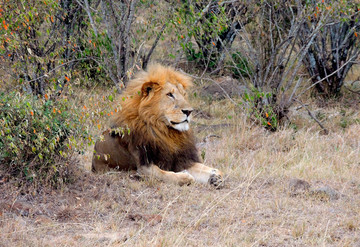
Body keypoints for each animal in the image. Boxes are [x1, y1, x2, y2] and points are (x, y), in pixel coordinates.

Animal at [91, 63, 224, 187]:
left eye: (184, 94)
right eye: (170, 94)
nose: (189, 111)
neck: (166, 132)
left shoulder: (182, 160)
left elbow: (209, 169)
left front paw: (215, 177)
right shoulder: (144, 167)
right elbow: (165, 174)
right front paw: (185, 176)